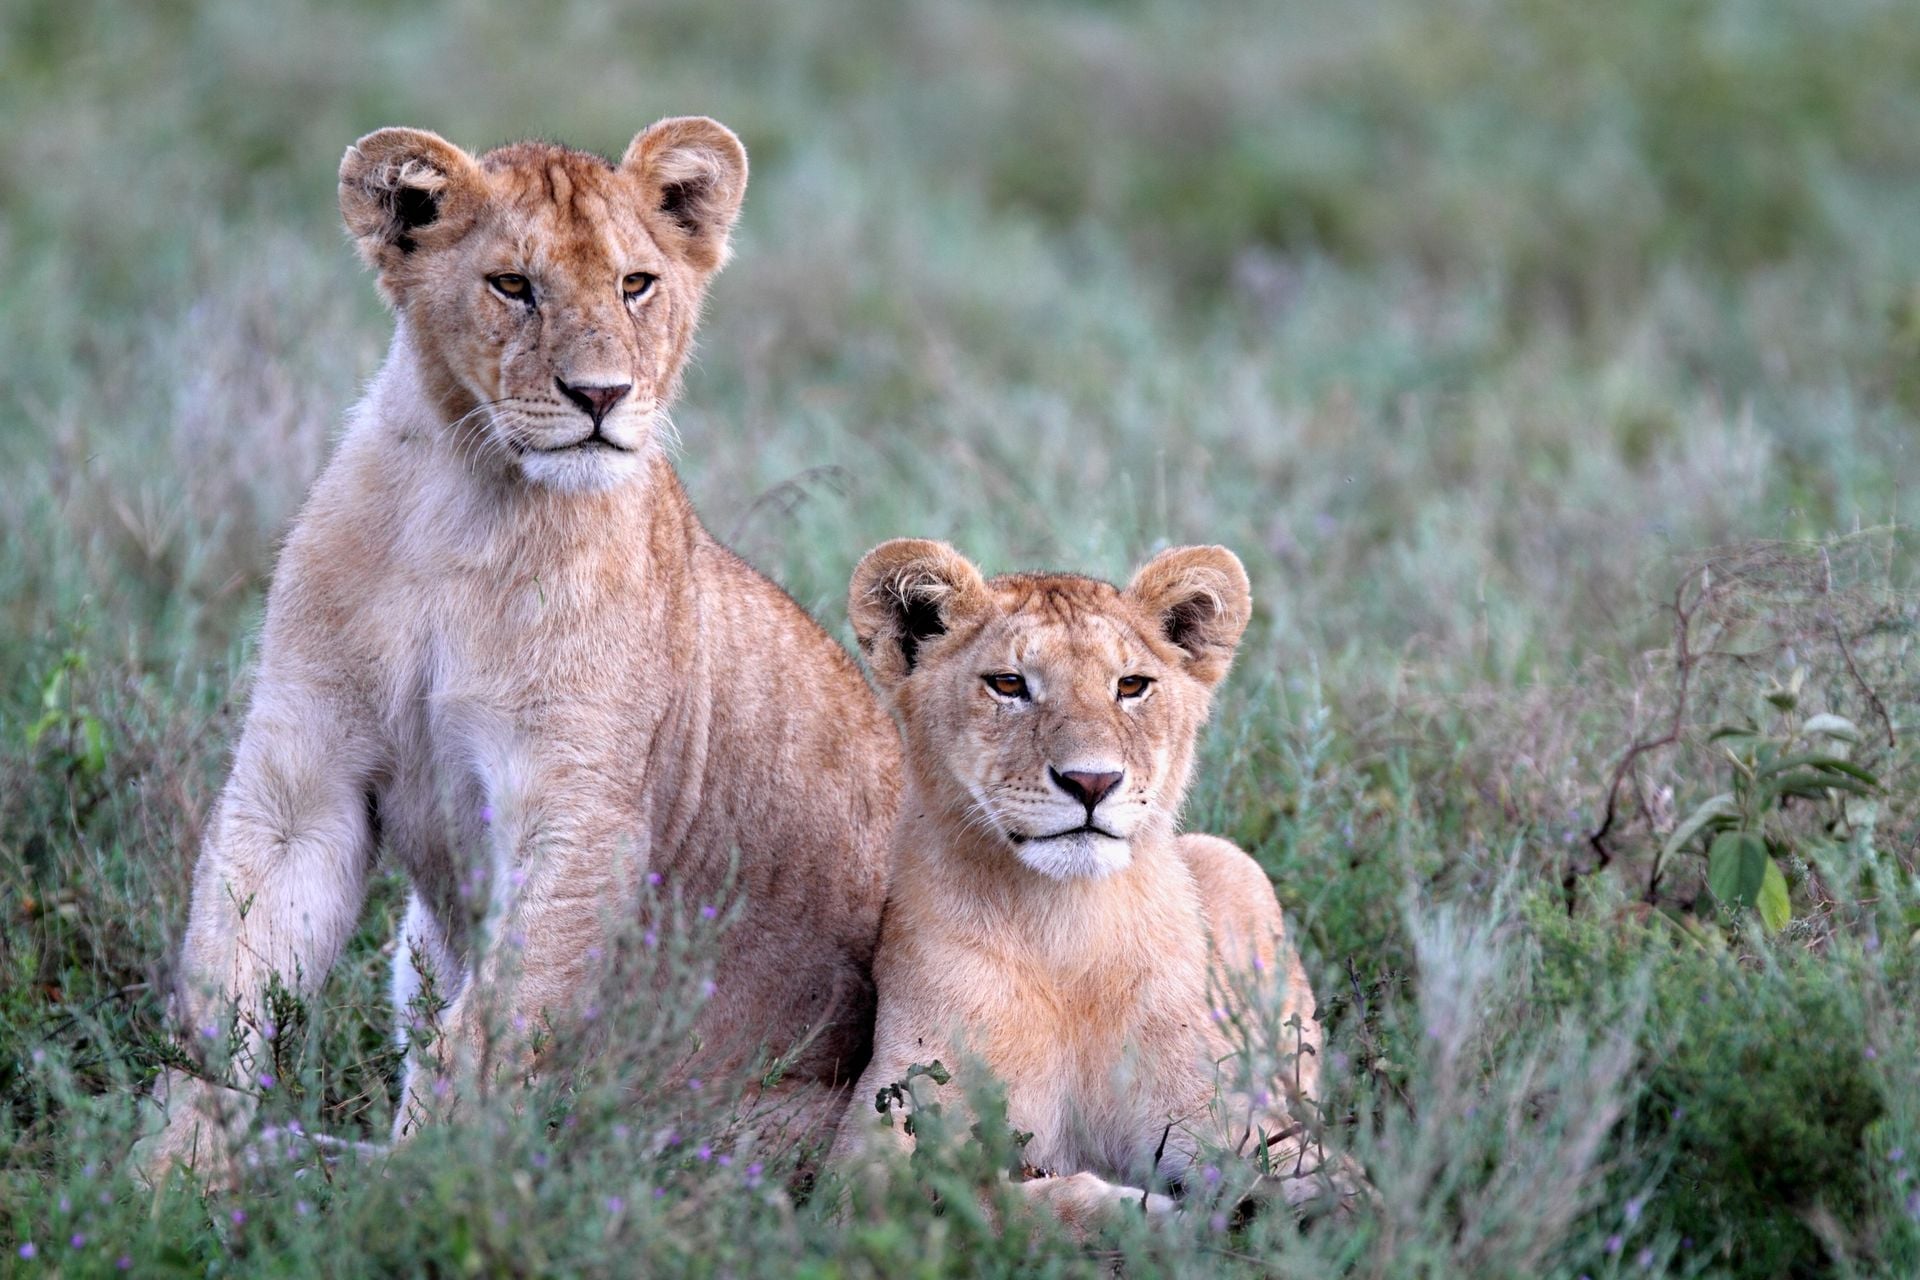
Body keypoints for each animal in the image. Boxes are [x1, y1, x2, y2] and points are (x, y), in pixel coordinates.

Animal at [134, 118, 901, 1185]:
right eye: (512, 286)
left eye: (635, 284)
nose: (601, 395)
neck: (470, 503)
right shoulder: (299, 781)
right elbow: (228, 993)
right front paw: (164, 1176)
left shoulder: (578, 815)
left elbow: (484, 1037)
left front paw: (421, 1193)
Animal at [830, 539, 1362, 1232]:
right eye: (1009, 684)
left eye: (1130, 686)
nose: (1091, 781)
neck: (1066, 930)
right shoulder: (869, 1147)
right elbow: (999, 1204)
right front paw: (1159, 1218)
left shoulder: (1220, 1113)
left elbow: (1324, 1175)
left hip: (1230, 861)